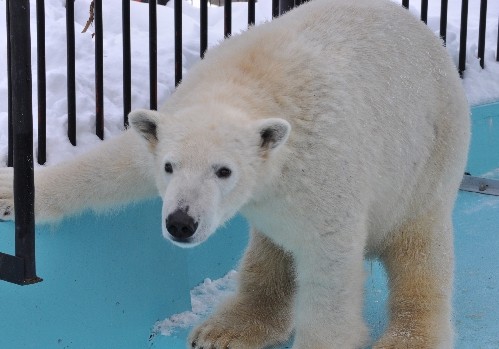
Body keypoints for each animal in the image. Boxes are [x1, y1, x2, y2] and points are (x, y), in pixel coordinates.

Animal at [0, 0, 468, 346]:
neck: (257, 86)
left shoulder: (323, 167)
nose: (180, 222)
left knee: (420, 257)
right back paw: (223, 331)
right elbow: (118, 162)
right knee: (269, 253)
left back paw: (407, 338)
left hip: (428, 166)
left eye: (223, 171)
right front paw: (11, 192)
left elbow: (329, 268)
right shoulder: (180, 115)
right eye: (170, 167)